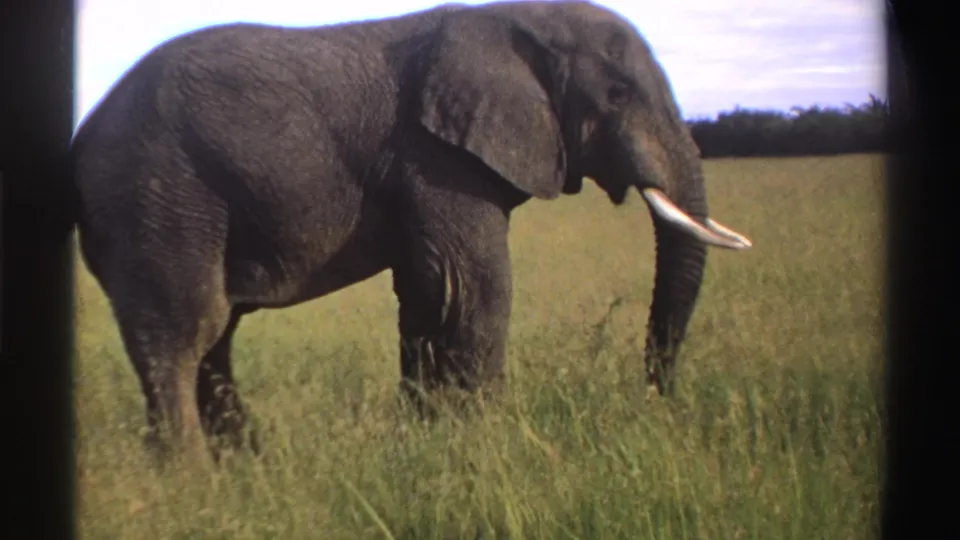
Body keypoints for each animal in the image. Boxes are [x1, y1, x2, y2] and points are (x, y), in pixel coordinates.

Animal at [69, 0, 751, 457]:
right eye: (616, 93)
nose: (656, 401)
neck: (515, 19)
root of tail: (81, 136)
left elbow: (429, 295)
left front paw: (427, 441)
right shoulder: (436, 156)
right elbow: (473, 289)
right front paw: (487, 447)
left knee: (215, 340)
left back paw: (244, 467)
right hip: (157, 196)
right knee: (184, 333)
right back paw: (194, 480)